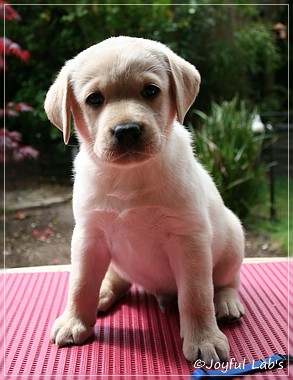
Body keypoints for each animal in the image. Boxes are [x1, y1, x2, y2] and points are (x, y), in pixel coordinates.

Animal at [44, 36, 243, 366]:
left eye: (150, 91)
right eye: (94, 99)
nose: (127, 131)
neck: (129, 176)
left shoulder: (189, 239)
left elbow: (197, 295)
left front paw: (204, 339)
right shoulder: (89, 236)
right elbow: (80, 283)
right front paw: (74, 321)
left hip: (233, 237)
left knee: (225, 281)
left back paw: (226, 303)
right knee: (118, 279)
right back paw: (103, 292)